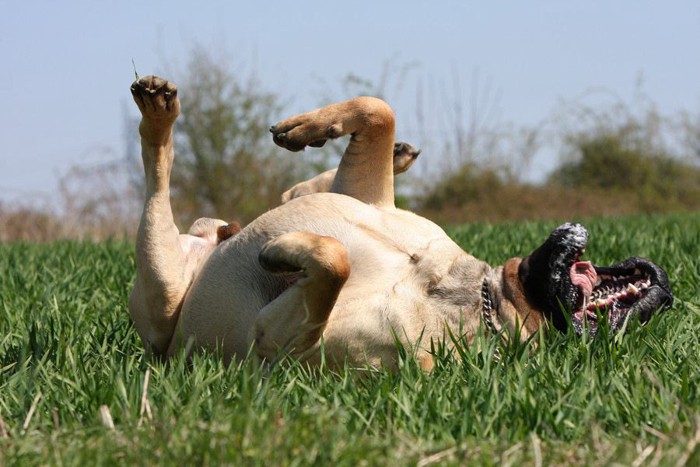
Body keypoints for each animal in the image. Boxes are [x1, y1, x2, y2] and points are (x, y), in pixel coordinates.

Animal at [129, 75, 676, 372]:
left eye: (610, 322)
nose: (663, 288)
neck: (473, 292)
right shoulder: (367, 195)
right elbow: (378, 109)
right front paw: (310, 129)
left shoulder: (284, 345)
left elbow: (333, 262)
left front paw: (284, 250)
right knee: (298, 190)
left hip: (162, 291)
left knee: (158, 171)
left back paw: (158, 115)